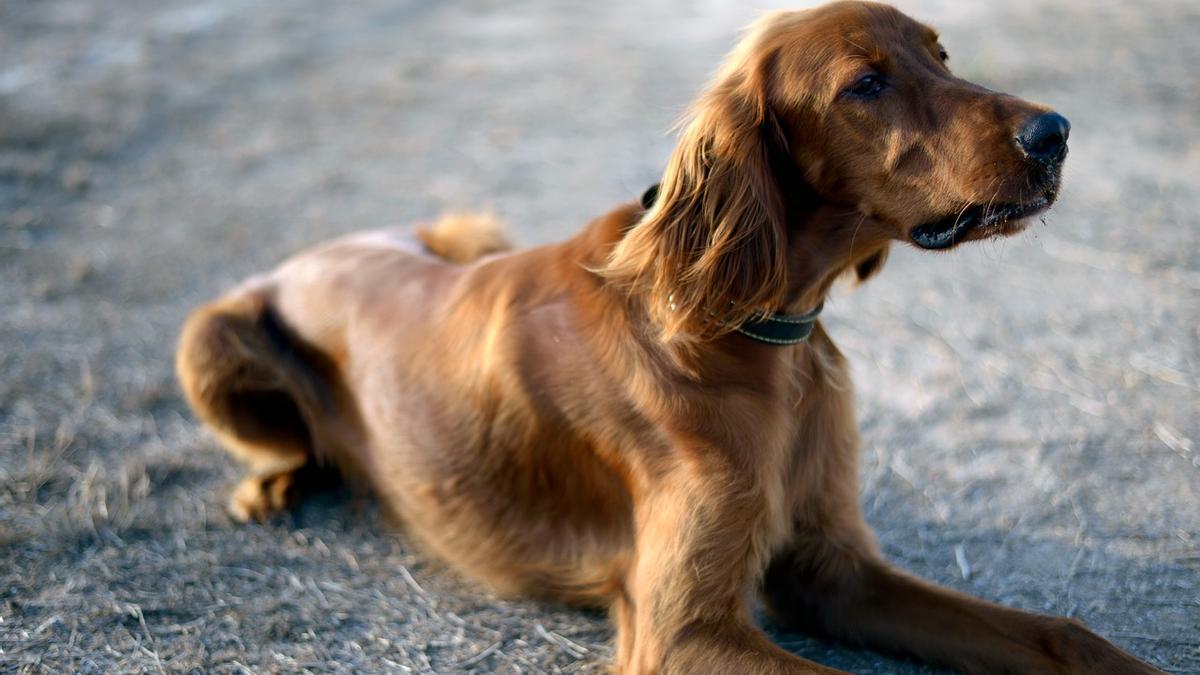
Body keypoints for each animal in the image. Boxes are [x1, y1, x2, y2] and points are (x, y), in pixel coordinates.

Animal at [177, 2, 1161, 667]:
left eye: (942, 53)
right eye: (866, 85)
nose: (1055, 133)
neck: (753, 329)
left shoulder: (833, 569)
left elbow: (1062, 632)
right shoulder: (685, 633)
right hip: (206, 338)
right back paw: (271, 484)